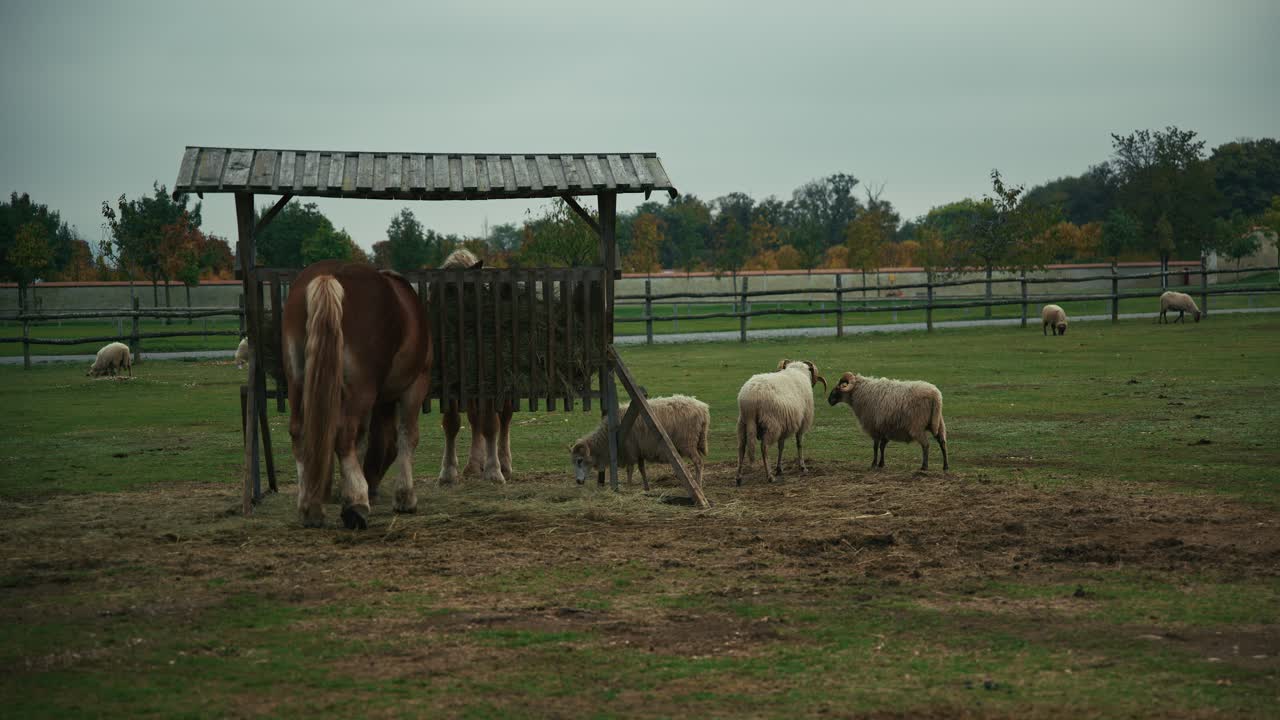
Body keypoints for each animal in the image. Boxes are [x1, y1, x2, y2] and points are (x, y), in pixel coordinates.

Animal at [281, 260, 432, 529]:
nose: (374, 488)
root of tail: (328, 276)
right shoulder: (414, 386)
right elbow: (408, 436)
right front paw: (405, 497)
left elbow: (361, 441)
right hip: (362, 390)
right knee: (344, 436)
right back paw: (356, 506)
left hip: (298, 382)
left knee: (301, 433)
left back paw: (310, 507)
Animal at [435, 249, 515, 485]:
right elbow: (452, 423)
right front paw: (448, 471)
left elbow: (491, 424)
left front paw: (494, 471)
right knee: (474, 419)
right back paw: (473, 465)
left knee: (504, 420)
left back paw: (504, 464)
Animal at [570, 395, 710, 490]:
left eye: (579, 460)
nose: (578, 481)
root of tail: (703, 409)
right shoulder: (639, 450)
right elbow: (642, 469)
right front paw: (646, 487)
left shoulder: (630, 450)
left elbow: (630, 469)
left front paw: (628, 486)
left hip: (688, 442)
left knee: (699, 462)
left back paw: (698, 484)